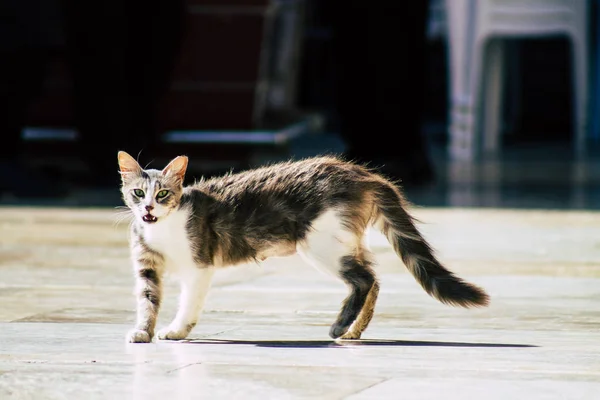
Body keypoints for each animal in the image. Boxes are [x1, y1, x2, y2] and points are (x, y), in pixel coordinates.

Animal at [117, 151, 488, 344]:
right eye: (138, 193)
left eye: (163, 194)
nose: (148, 209)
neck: (161, 230)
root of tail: (362, 174)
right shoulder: (147, 268)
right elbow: (147, 301)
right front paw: (143, 331)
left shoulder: (199, 266)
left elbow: (188, 305)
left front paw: (177, 330)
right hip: (344, 242)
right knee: (373, 280)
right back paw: (354, 331)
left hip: (321, 245)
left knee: (364, 280)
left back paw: (341, 326)